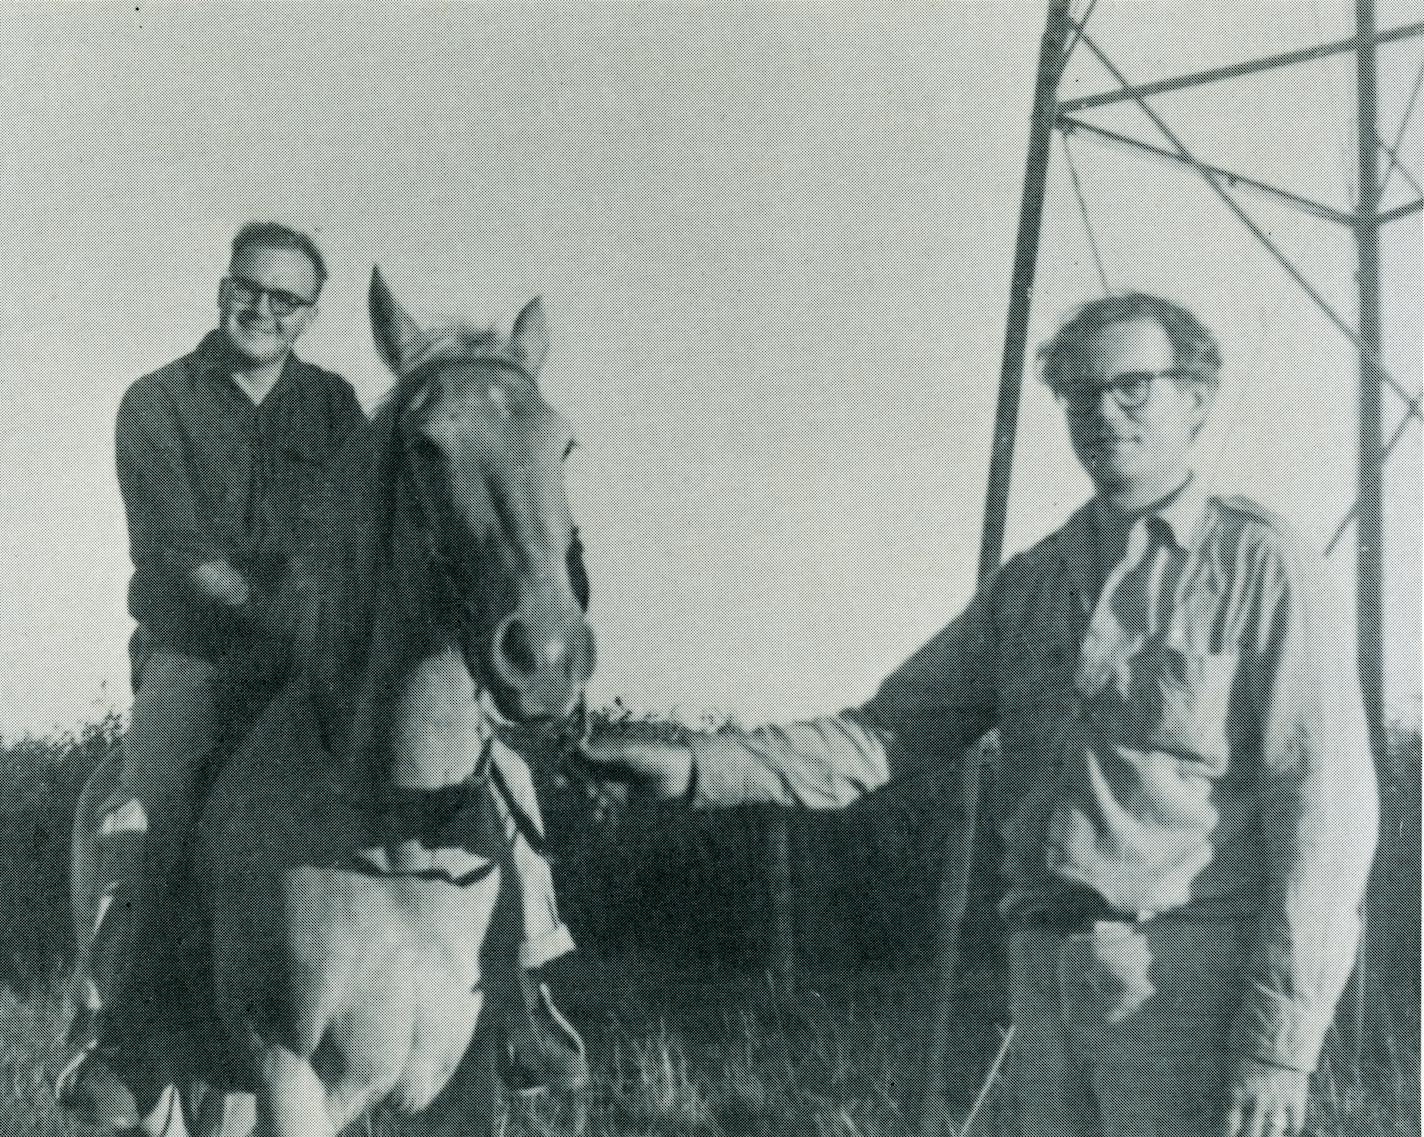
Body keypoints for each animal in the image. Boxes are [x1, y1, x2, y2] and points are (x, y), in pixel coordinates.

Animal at [67, 269, 595, 1137]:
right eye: (427, 446)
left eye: (564, 445)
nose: (545, 656)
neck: (396, 834)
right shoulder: (289, 1077)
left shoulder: (465, 1085)